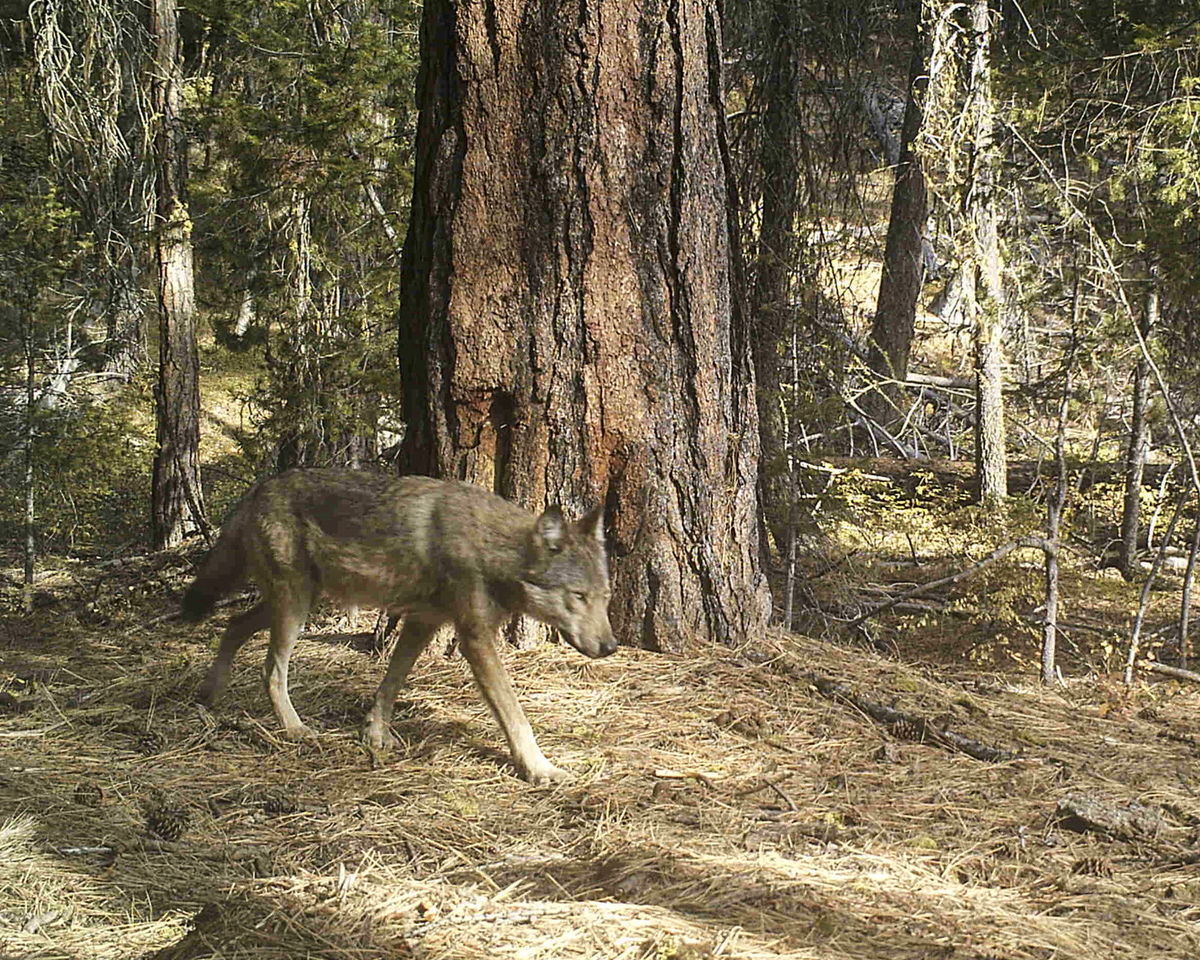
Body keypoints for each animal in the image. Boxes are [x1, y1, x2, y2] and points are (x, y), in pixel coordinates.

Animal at [181, 468, 615, 784]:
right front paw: (540, 768)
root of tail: (260, 487)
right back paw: (293, 728)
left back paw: (209, 695)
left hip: (294, 601)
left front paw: (374, 734)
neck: (491, 547)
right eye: (578, 596)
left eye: (605, 597)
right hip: (294, 607)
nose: (611, 647)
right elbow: (515, 715)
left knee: (233, 626)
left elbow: (391, 683)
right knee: (271, 670)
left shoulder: (423, 622)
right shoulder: (475, 638)